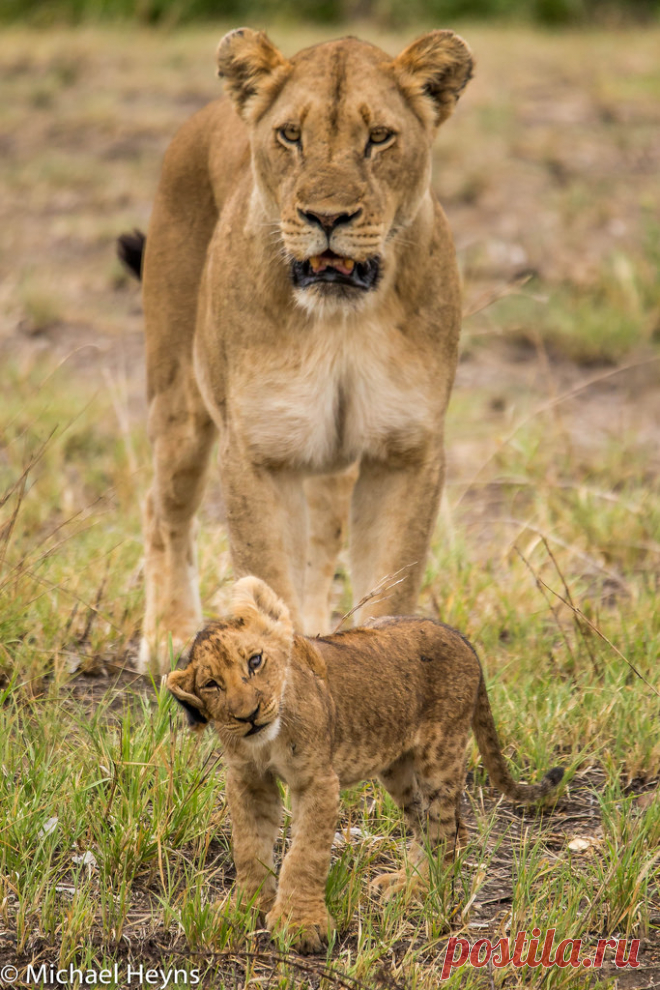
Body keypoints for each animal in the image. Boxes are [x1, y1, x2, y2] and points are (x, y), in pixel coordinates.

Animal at [121, 27, 475, 674]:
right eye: (290, 135)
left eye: (379, 137)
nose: (326, 217)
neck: (341, 322)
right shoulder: (260, 452)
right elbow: (266, 582)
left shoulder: (406, 453)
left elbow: (388, 586)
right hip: (180, 402)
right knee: (163, 510)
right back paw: (165, 636)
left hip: (328, 461)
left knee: (319, 546)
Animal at [166, 576, 563, 954]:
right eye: (211, 684)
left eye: (255, 661)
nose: (248, 715)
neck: (268, 741)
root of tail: (459, 636)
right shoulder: (248, 779)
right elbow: (249, 847)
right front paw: (245, 908)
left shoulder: (318, 780)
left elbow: (305, 854)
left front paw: (300, 925)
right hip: (398, 769)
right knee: (439, 826)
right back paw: (404, 882)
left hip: (440, 753)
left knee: (445, 830)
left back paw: (418, 889)